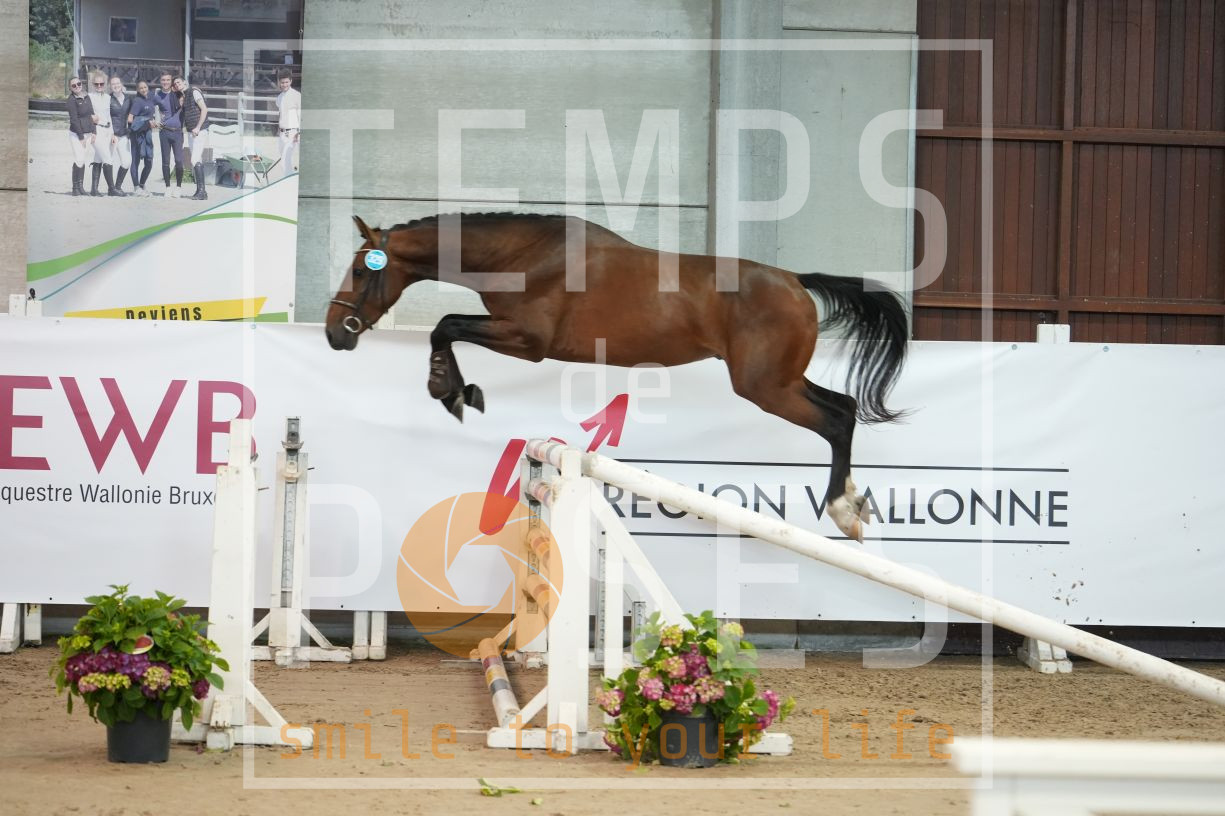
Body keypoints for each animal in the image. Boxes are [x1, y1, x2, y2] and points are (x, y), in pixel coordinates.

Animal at [325, 212, 908, 541]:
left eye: (358, 269)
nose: (335, 334)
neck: (522, 255)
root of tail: (795, 282)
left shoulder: (528, 342)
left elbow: (445, 325)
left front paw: (450, 392)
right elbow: (447, 326)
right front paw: (456, 390)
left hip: (766, 388)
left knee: (835, 421)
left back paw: (842, 511)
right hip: (780, 382)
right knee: (845, 408)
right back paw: (853, 502)